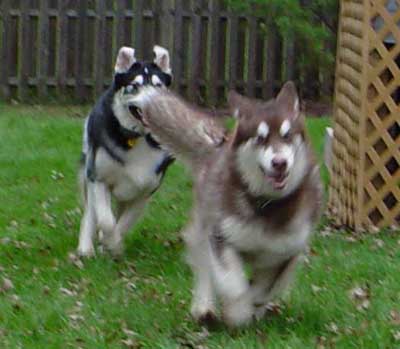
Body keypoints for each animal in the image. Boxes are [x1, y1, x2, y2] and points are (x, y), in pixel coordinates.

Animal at [76, 44, 173, 256]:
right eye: (134, 86)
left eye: (158, 86)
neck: (138, 138)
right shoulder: (99, 179)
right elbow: (106, 220)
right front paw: (107, 241)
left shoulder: (144, 192)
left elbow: (123, 224)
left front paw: (113, 245)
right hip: (89, 172)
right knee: (91, 213)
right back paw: (86, 247)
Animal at [130, 81, 324, 326]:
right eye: (260, 139)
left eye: (287, 135)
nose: (279, 163)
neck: (266, 205)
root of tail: (219, 144)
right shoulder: (222, 239)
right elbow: (234, 286)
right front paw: (237, 312)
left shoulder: (286, 253)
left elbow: (262, 290)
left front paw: (252, 307)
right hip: (204, 227)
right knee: (204, 269)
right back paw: (204, 308)